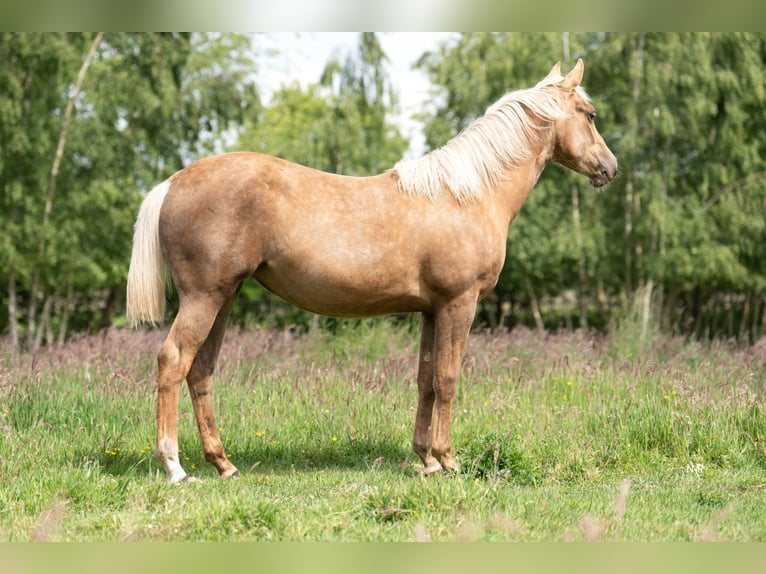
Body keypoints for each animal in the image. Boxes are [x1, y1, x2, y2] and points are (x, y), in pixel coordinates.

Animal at [127, 59, 617, 483]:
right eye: (590, 115)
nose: (610, 168)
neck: (467, 193)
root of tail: (173, 182)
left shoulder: (431, 310)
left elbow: (425, 380)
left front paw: (425, 460)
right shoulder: (459, 303)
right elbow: (447, 379)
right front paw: (448, 459)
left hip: (223, 298)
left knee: (201, 371)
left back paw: (223, 463)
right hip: (204, 298)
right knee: (173, 361)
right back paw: (174, 466)